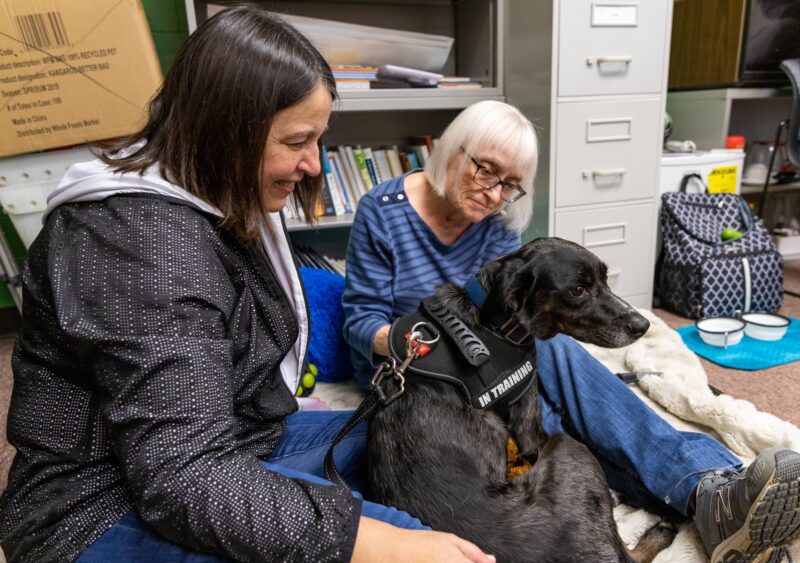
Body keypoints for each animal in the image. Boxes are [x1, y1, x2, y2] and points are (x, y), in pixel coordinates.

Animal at [366, 239, 672, 563]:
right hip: (569, 447)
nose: (643, 325)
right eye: (578, 290)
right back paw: (657, 527)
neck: (494, 323)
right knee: (630, 552)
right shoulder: (528, 424)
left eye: (605, 278)